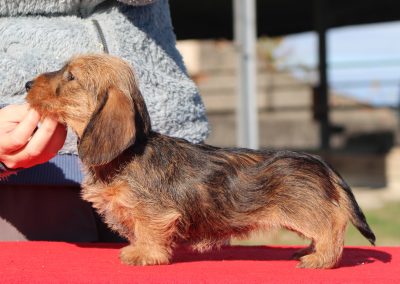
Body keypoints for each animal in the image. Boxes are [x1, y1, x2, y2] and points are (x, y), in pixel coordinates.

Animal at [25, 53, 376, 268]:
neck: (128, 154)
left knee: (333, 224)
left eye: (71, 76)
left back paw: (320, 259)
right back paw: (310, 250)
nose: (27, 84)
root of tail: (320, 163)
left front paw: (143, 254)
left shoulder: (154, 213)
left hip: (304, 211)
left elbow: (148, 231)